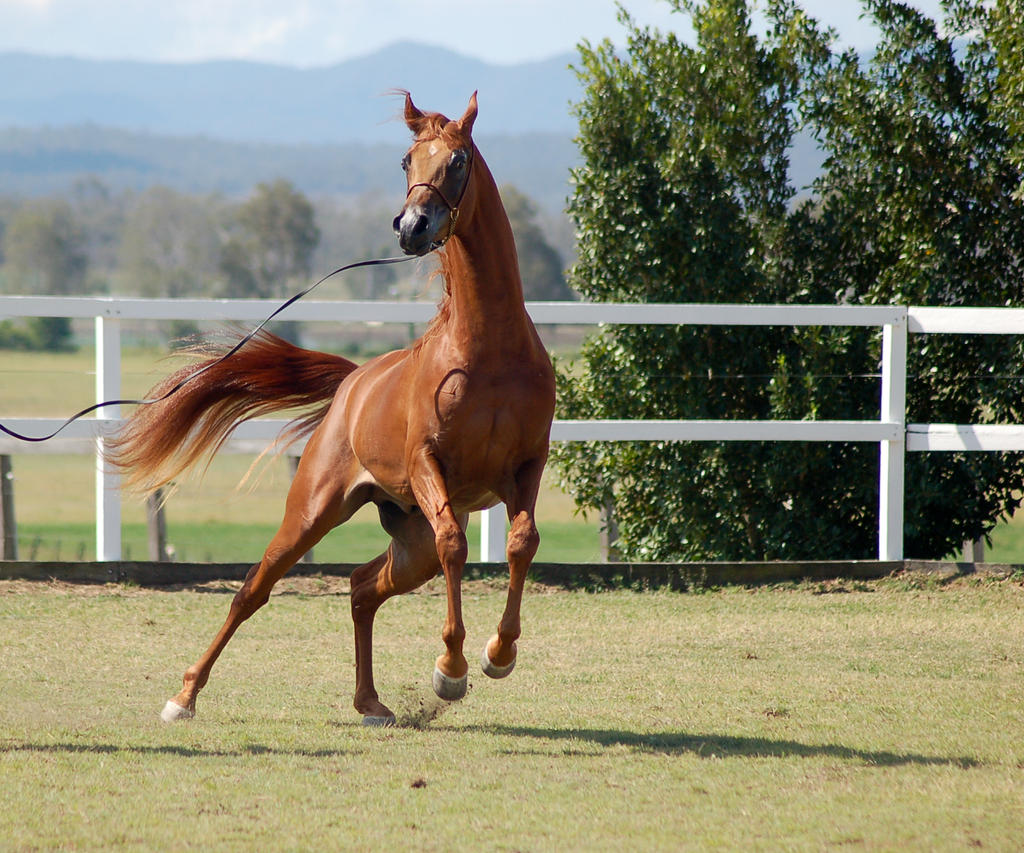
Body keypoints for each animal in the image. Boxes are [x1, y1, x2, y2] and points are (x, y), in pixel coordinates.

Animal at [111, 91, 557, 724]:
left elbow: (522, 543)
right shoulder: (428, 463)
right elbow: (458, 544)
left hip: (409, 539)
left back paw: (370, 702)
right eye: (406, 161)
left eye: (459, 160)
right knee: (255, 588)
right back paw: (184, 696)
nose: (412, 227)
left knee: (362, 586)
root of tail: (354, 383)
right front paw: (451, 670)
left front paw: (499, 654)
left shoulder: (526, 465)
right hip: (313, 511)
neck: (488, 349)